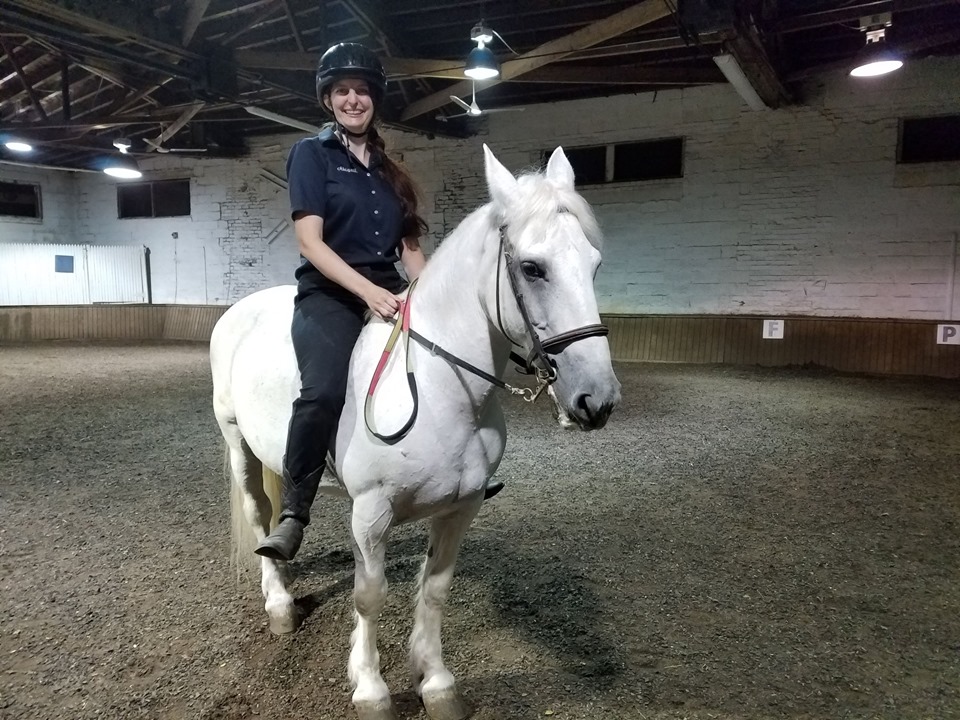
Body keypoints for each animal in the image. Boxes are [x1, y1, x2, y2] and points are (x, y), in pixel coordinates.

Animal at [212, 146, 624, 720]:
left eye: (594, 264)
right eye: (532, 268)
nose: (598, 400)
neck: (437, 390)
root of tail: (242, 308)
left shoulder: (461, 508)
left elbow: (434, 590)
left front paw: (437, 684)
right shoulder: (370, 514)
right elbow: (369, 596)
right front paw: (371, 690)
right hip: (238, 445)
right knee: (258, 515)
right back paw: (279, 604)